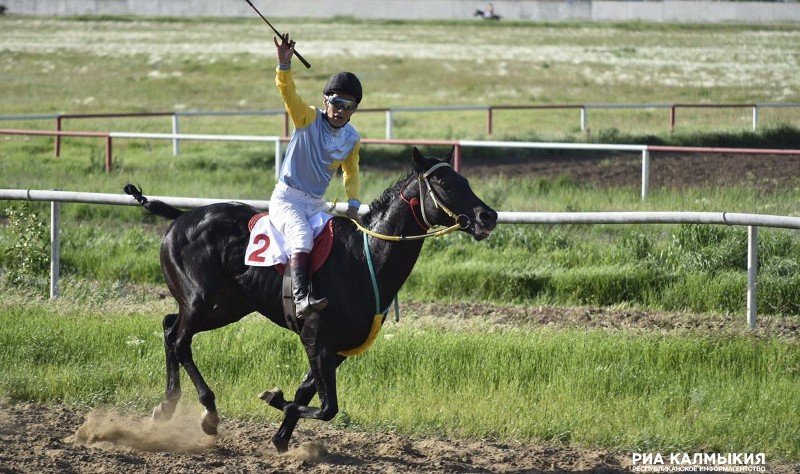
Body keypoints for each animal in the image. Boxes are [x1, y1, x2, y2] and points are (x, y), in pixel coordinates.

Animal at [123, 148, 500, 452]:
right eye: (446, 183)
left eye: (465, 180)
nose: (488, 216)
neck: (362, 258)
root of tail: (182, 217)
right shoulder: (315, 337)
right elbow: (327, 407)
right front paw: (275, 399)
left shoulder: (335, 349)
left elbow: (307, 392)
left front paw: (281, 435)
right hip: (200, 299)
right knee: (180, 340)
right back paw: (208, 413)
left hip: (228, 306)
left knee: (169, 327)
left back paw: (167, 406)